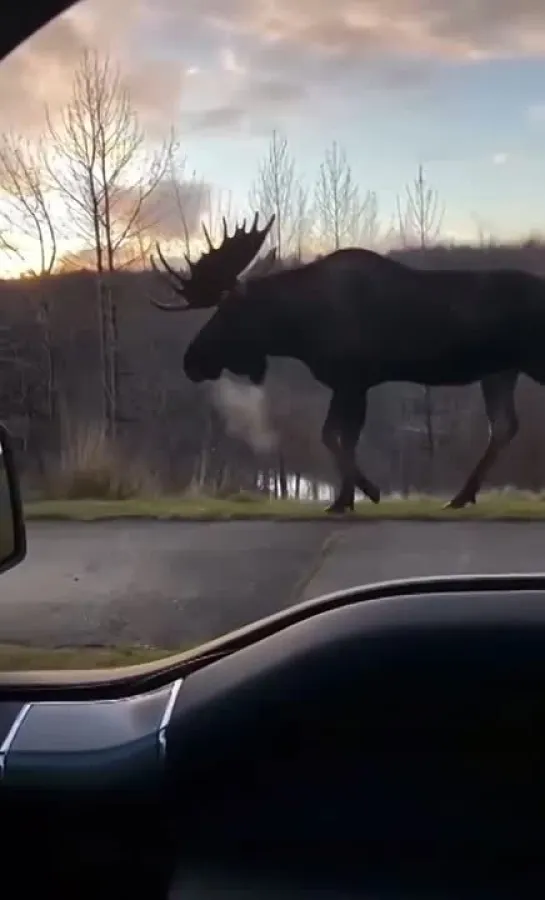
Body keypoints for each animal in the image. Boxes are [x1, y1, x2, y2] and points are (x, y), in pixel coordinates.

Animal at [148, 212, 544, 516]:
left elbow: (334, 436)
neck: (297, 329)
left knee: (504, 425)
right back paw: (461, 497)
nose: (191, 361)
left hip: (529, 362)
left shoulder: (354, 379)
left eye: (226, 314)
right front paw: (346, 498)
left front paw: (363, 493)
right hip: (499, 371)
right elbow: (341, 437)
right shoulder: (350, 383)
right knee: (504, 426)